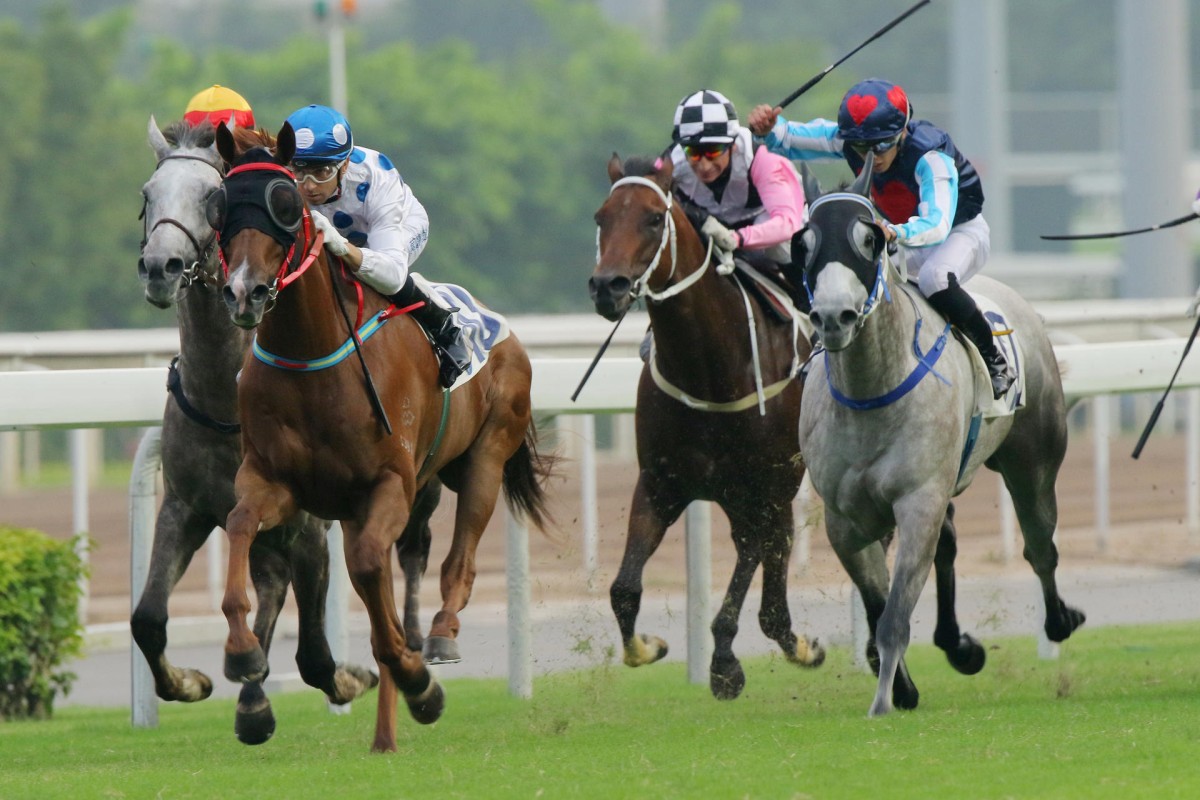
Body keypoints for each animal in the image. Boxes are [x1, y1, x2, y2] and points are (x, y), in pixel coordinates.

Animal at [214, 123, 552, 753]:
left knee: (459, 559)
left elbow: (373, 569)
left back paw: (439, 637)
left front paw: (419, 682)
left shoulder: (389, 482)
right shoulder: (275, 483)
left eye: (284, 205)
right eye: (223, 204)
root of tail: (498, 323)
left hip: (485, 456)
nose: (244, 293)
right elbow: (242, 525)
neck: (311, 356)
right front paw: (243, 652)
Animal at [588, 151, 825, 700]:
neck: (710, 366)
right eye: (601, 217)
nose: (608, 287)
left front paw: (724, 666)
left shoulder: (763, 486)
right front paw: (646, 646)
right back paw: (798, 643)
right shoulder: (660, 484)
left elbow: (744, 578)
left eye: (654, 218)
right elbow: (624, 588)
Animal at [796, 160, 1089, 719]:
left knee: (1040, 547)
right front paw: (903, 686)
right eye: (804, 241)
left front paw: (884, 701)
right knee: (952, 544)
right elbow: (877, 604)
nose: (834, 316)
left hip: (1034, 463)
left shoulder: (918, 500)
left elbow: (893, 616)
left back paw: (1059, 620)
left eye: (870, 239)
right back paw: (961, 647)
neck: (871, 395)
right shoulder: (845, 521)